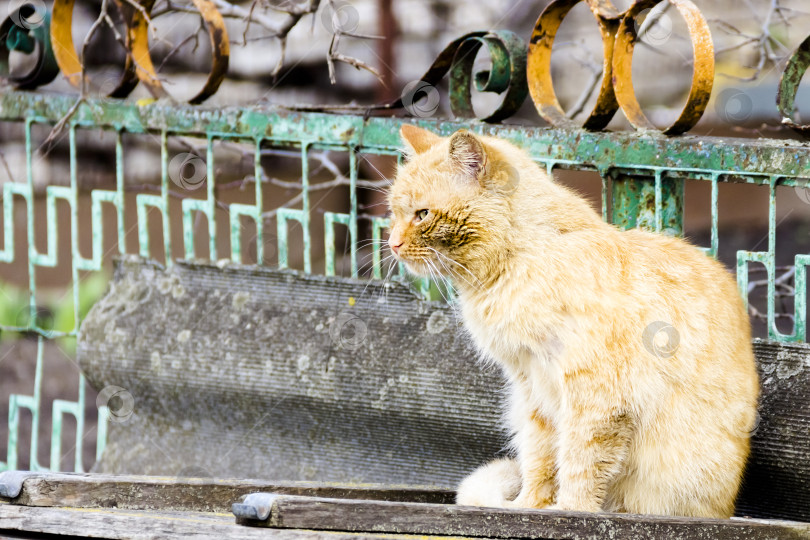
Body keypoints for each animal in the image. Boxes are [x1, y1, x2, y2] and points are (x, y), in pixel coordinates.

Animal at [386, 124, 756, 516]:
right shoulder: (532, 389)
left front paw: (569, 511)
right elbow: (541, 460)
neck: (522, 260)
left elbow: (580, 463)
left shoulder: (594, 394)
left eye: (422, 214)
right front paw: (530, 507)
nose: (391, 243)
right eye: (393, 213)